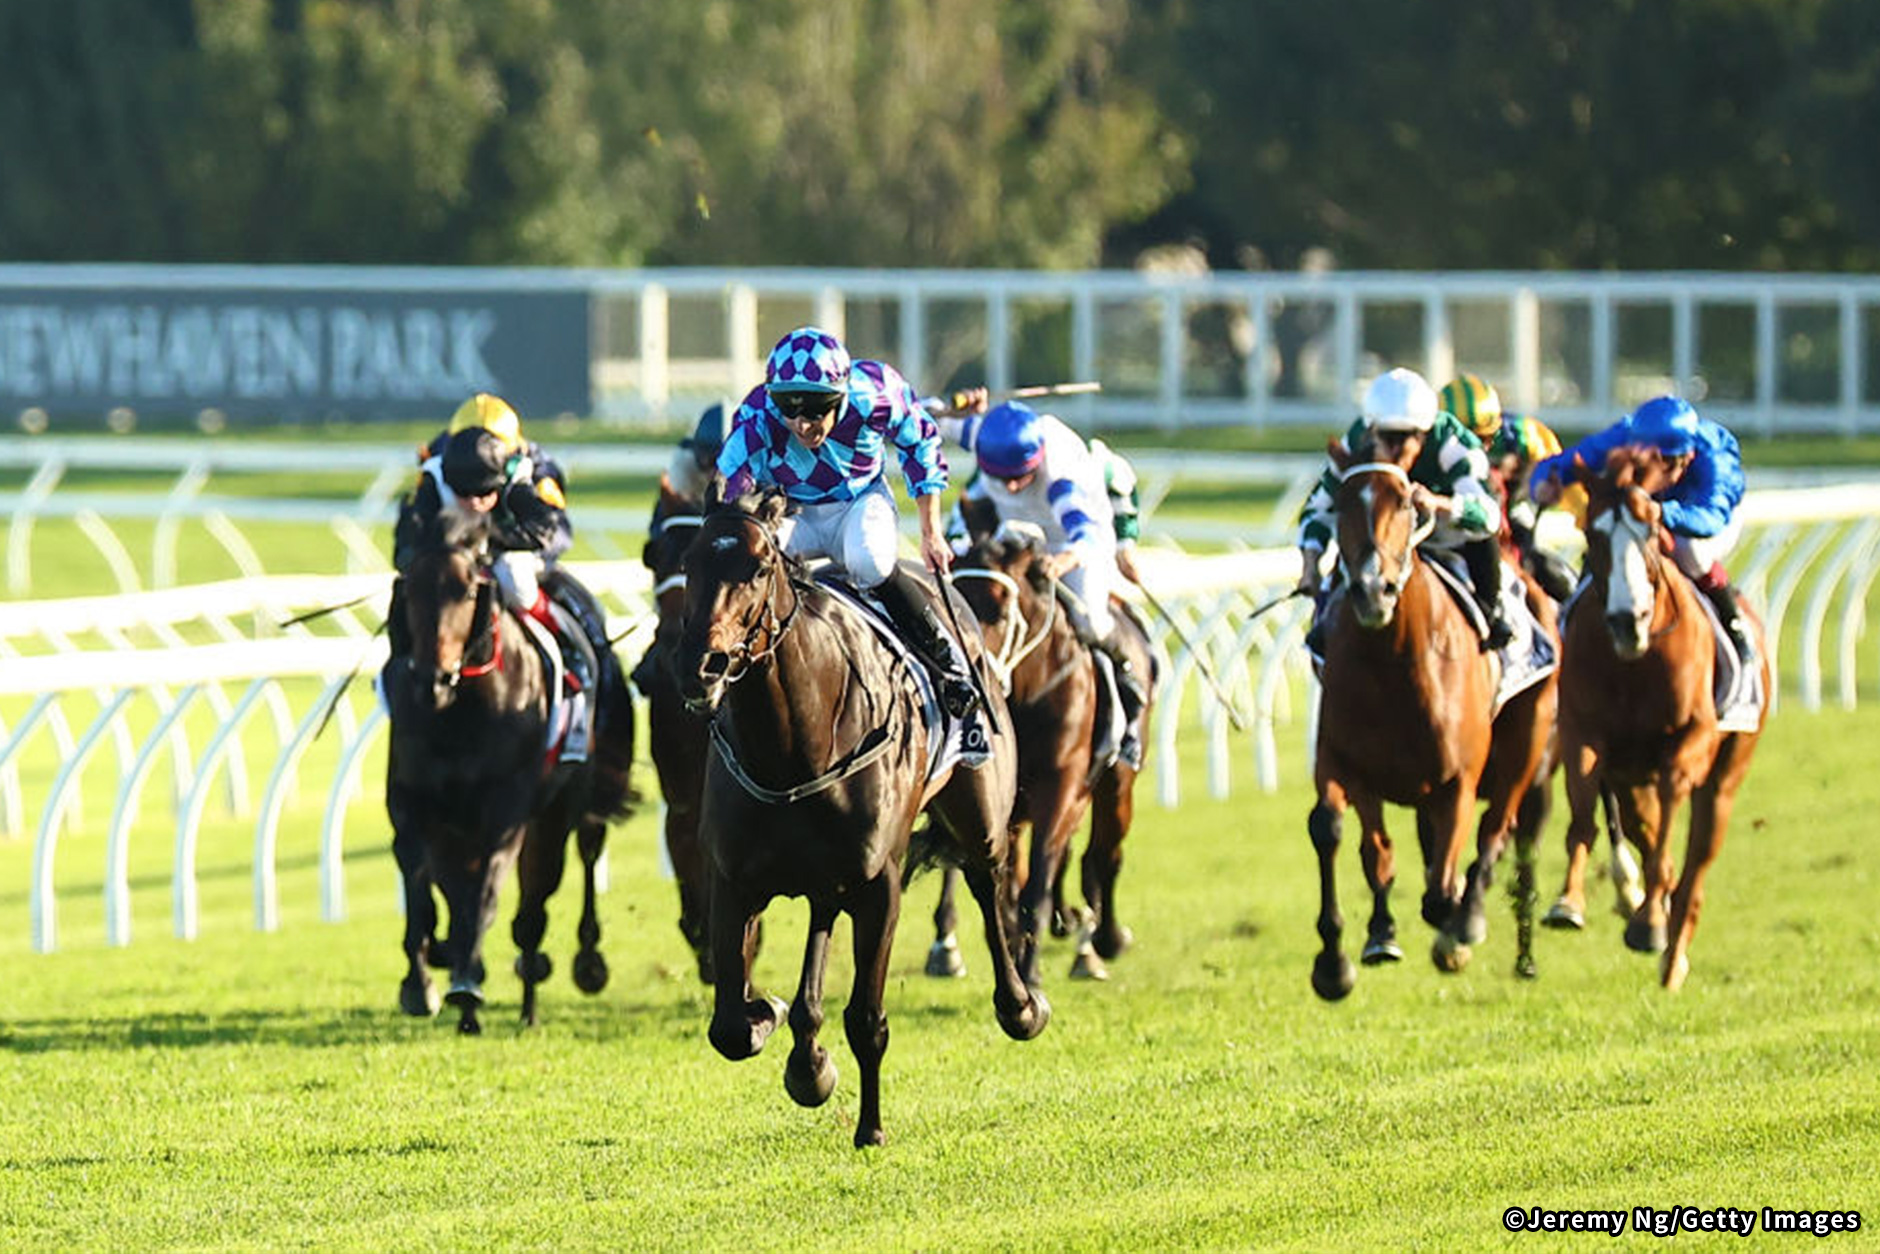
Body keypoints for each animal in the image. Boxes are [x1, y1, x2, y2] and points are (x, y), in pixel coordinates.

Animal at [385, 505, 635, 1033]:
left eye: (466, 590)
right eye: (410, 588)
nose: (431, 681)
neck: (461, 713)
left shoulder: (506, 811)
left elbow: (485, 892)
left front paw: (465, 981)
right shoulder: (414, 803)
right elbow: (420, 882)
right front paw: (422, 980)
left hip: (569, 806)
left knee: (559, 879)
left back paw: (556, 978)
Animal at [675, 488, 1048, 1148]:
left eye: (758, 567)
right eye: (690, 562)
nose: (703, 664)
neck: (792, 748)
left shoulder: (880, 886)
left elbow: (867, 1019)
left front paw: (870, 1127)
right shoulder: (734, 881)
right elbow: (730, 1027)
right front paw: (783, 1031)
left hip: (978, 813)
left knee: (986, 879)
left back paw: (1021, 1005)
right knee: (823, 921)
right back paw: (807, 1056)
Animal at [934, 524, 1154, 985]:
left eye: (1000, 612)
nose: (962, 679)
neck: (1026, 696)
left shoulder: (1061, 787)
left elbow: (1036, 884)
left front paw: (1030, 974)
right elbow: (1005, 888)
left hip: (1116, 784)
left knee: (1104, 854)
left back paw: (1102, 940)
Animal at [1307, 439, 1557, 1000]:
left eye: (1404, 502)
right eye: (1341, 504)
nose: (1372, 590)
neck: (1393, 663)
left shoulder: (1459, 779)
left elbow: (1444, 887)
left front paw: (1456, 929)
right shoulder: (1343, 762)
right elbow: (1345, 837)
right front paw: (1341, 958)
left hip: (1525, 745)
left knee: (1494, 830)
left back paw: (1471, 922)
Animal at [1542, 446, 1769, 990]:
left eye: (1651, 532)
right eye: (1594, 534)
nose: (1628, 621)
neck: (1635, 664)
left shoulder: (1691, 740)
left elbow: (1669, 833)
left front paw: (1649, 925)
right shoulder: (1583, 733)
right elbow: (1583, 817)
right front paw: (1569, 902)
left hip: (1725, 780)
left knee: (1696, 865)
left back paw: (1671, 954)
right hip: (1630, 780)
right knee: (1641, 830)